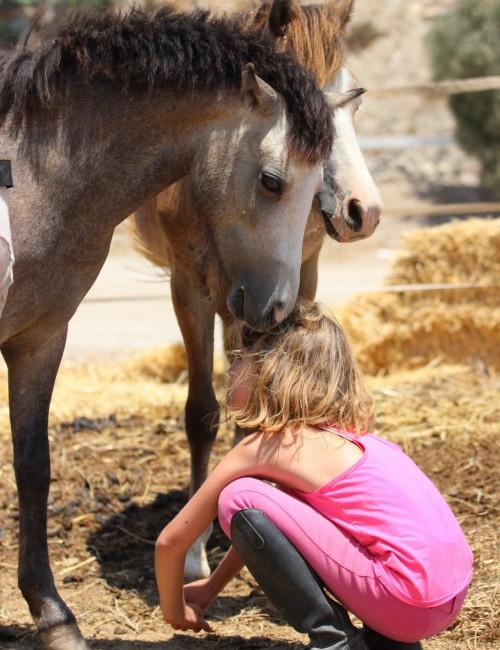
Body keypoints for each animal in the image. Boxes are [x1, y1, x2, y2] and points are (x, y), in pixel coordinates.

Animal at [0, 6, 336, 648]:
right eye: (272, 181)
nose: (276, 308)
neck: (30, 182)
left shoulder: (40, 336)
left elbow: (33, 469)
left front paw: (54, 617)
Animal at [130, 0, 382, 576]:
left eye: (354, 100)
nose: (365, 210)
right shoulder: (190, 290)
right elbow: (202, 414)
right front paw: (195, 552)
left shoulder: (295, 285)